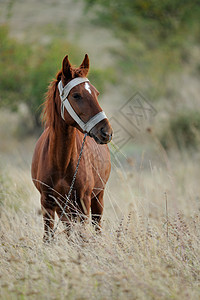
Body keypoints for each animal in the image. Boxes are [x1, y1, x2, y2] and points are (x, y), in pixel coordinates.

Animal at [31, 54, 112, 241]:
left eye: (96, 93)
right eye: (76, 95)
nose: (106, 132)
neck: (61, 162)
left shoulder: (83, 203)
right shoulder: (47, 203)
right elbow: (48, 238)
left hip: (98, 198)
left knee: (97, 227)